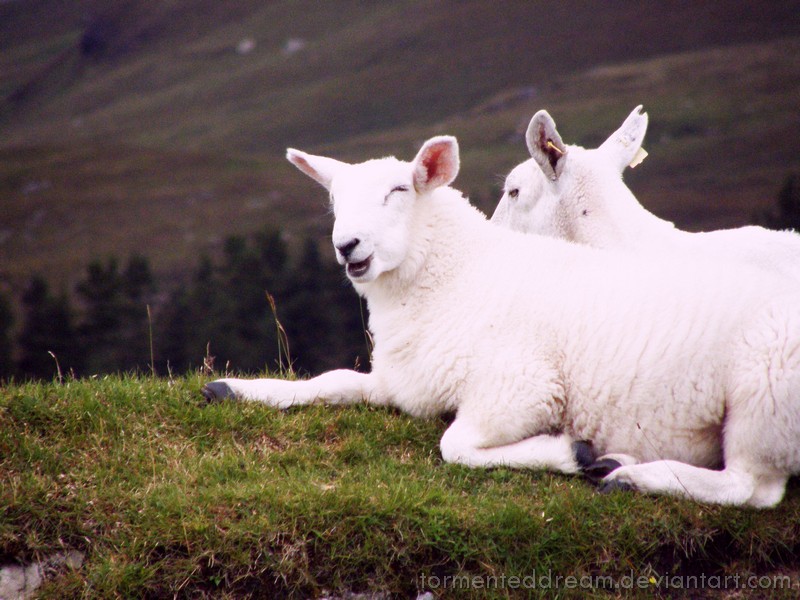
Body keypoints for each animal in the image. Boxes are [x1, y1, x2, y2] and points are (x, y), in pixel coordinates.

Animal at [202, 135, 800, 506]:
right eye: (333, 199)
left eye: (399, 190)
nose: (346, 245)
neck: (457, 277)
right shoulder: (402, 381)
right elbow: (332, 381)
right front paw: (233, 388)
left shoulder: (523, 388)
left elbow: (456, 446)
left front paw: (570, 453)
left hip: (763, 396)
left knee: (751, 487)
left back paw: (628, 475)